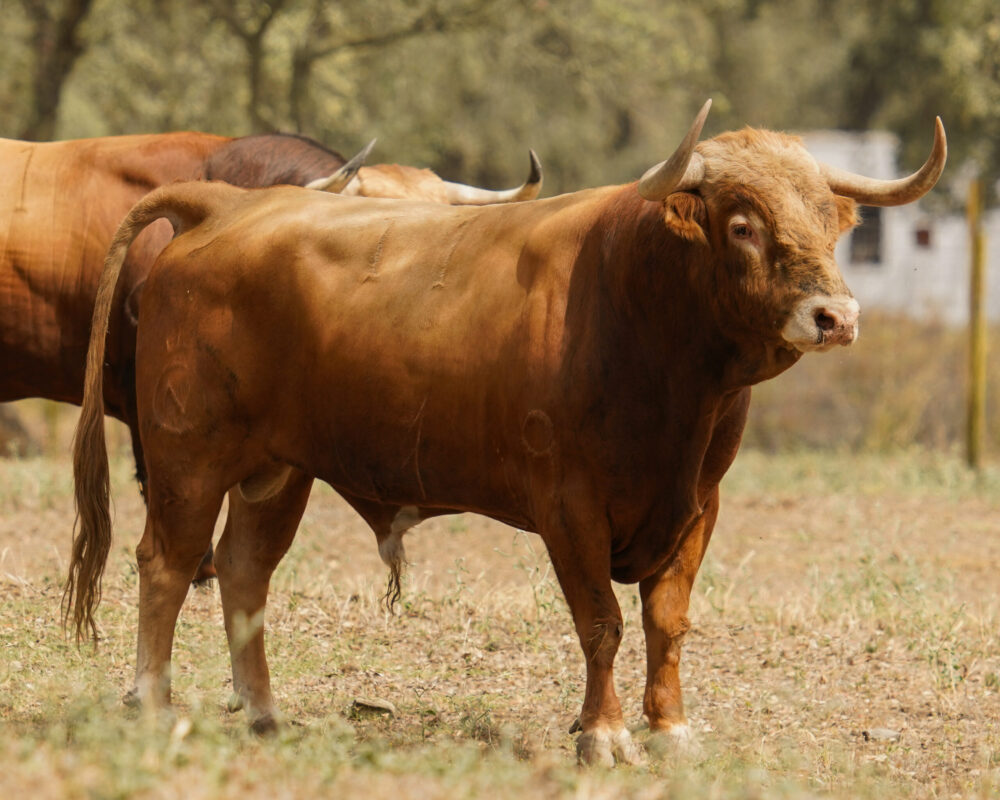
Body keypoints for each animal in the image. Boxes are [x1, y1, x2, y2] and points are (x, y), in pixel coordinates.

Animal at [66, 103, 940, 764]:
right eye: (743, 225)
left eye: (831, 219)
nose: (836, 316)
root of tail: (232, 207)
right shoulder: (569, 505)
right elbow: (601, 622)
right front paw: (605, 734)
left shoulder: (698, 504)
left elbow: (666, 621)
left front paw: (670, 727)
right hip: (190, 456)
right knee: (167, 564)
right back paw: (153, 702)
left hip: (277, 471)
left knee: (245, 571)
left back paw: (264, 713)